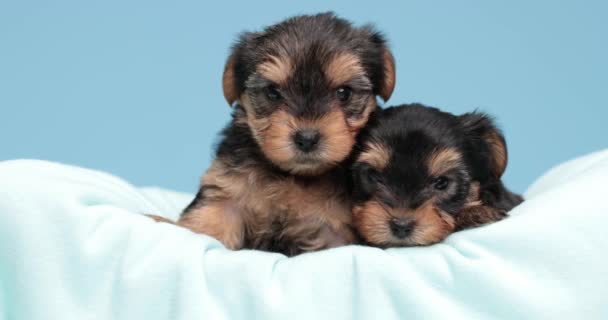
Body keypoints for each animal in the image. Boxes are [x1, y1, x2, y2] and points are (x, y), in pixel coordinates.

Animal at [175, 13, 400, 256]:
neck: (293, 176)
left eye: (344, 93)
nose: (307, 138)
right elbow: (208, 221)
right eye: (272, 92)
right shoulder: (226, 192)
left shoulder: (336, 229)